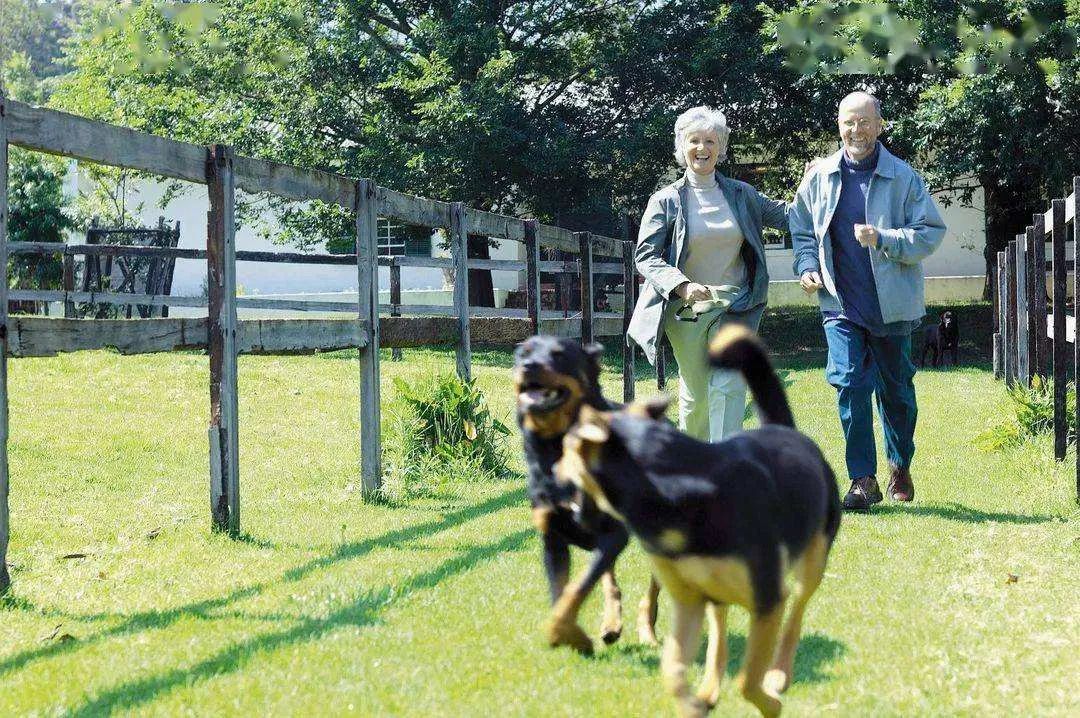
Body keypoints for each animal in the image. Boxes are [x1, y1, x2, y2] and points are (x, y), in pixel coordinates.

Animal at [511, 336, 660, 656]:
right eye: (522, 353)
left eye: (559, 355)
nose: (528, 366)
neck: (557, 448)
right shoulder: (552, 537)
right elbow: (562, 591)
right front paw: (568, 634)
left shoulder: (614, 533)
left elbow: (578, 587)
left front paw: (567, 634)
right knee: (610, 579)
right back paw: (611, 624)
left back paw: (648, 633)